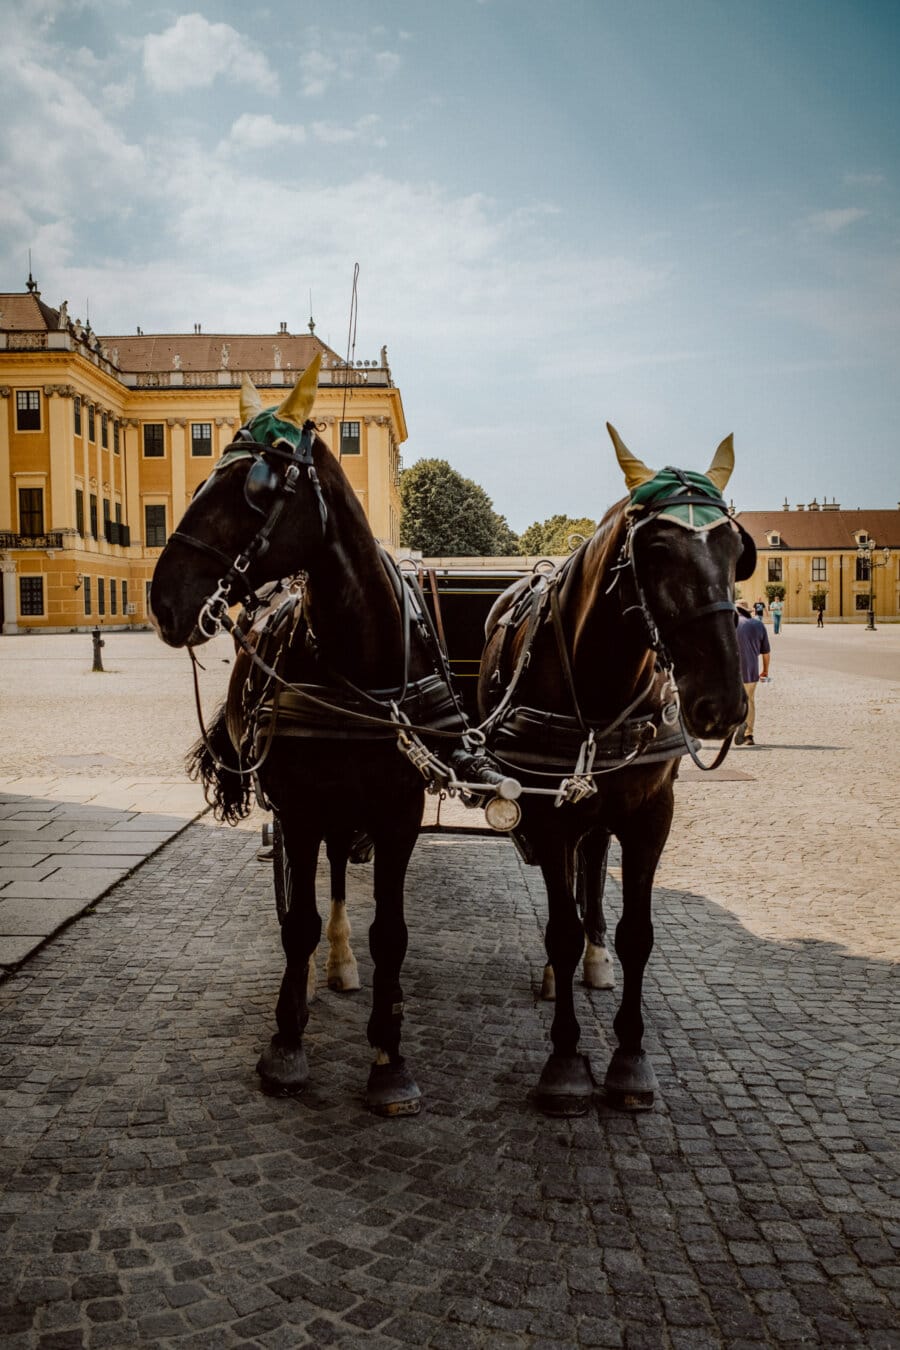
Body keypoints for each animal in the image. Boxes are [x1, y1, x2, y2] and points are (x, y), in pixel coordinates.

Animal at [148, 359, 464, 1117]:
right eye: (197, 480)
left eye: (255, 489)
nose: (162, 599)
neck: (358, 664)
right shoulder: (296, 807)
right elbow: (297, 922)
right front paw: (287, 1042)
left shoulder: (399, 814)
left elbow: (391, 931)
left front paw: (389, 1056)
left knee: (345, 877)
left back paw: (346, 964)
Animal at [477, 429, 755, 1117]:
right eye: (654, 550)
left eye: (737, 551)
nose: (721, 704)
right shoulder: (548, 816)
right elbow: (558, 931)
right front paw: (565, 1061)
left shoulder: (651, 817)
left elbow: (638, 934)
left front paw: (629, 1057)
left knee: (594, 865)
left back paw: (595, 956)